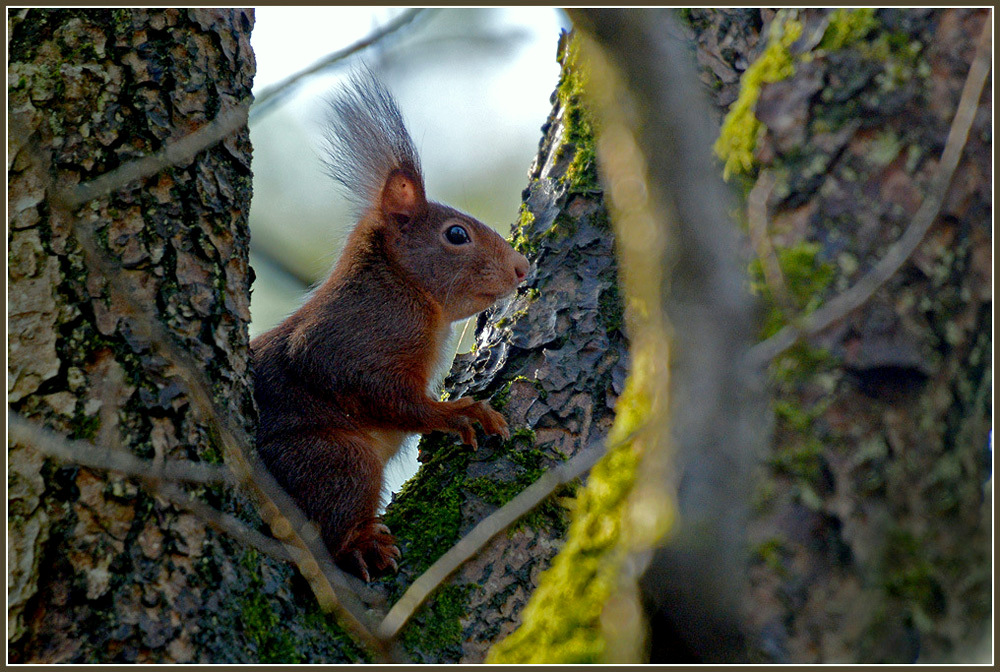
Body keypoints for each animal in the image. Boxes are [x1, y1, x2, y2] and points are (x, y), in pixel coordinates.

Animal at [250, 70, 530, 582]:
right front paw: (457, 412)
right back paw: (363, 546)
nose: (521, 268)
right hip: (335, 457)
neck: (404, 285)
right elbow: (386, 395)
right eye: (456, 234)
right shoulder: (357, 338)